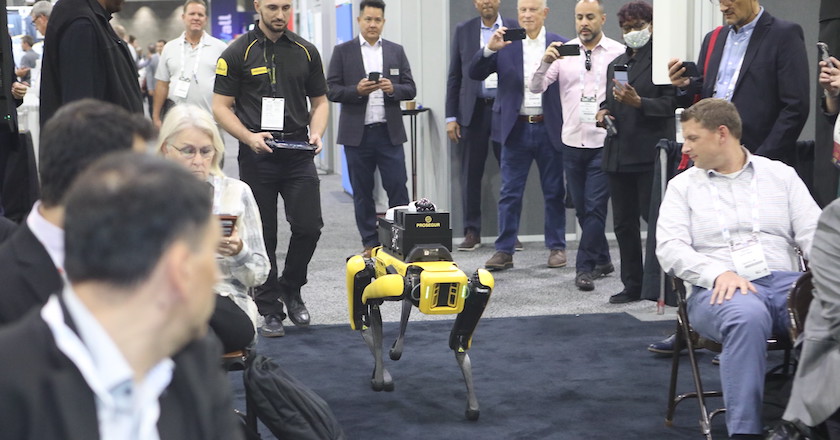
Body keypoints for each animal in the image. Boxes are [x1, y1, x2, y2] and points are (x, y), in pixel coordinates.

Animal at [346, 201, 492, 422]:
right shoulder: (395, 284)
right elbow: (371, 310)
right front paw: (380, 378)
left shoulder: (474, 289)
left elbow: (459, 342)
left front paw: (472, 405)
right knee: (358, 271)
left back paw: (395, 350)